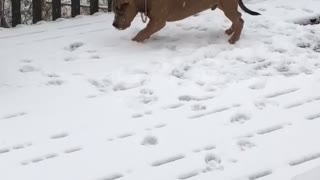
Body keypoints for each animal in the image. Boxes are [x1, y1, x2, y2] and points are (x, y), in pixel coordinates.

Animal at [112, 0, 260, 44]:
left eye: (119, 11)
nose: (114, 25)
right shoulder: (155, 21)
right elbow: (146, 30)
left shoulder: (158, 20)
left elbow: (143, 31)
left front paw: (135, 41)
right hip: (224, 5)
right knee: (239, 17)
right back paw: (231, 31)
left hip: (227, 5)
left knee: (239, 20)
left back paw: (234, 39)